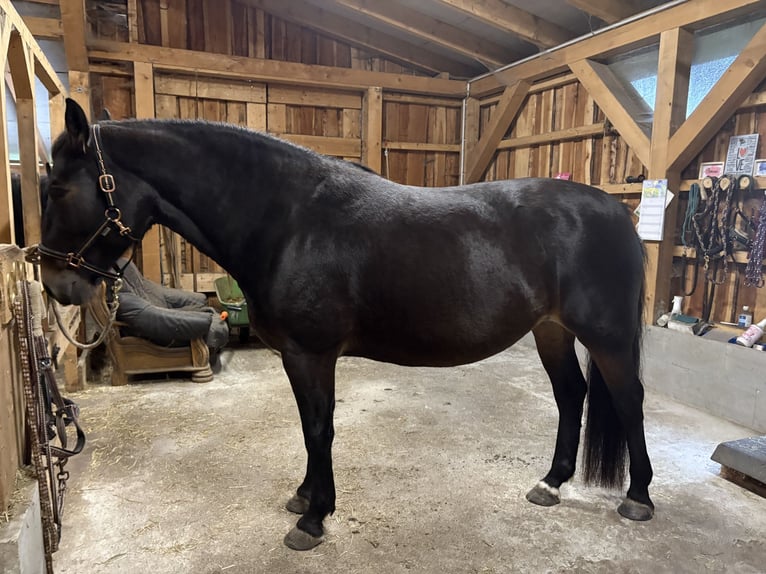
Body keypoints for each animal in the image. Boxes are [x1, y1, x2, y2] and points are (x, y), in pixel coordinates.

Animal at [37, 98, 653, 551]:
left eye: (60, 189)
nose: (55, 286)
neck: (287, 220)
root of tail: (615, 212)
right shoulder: (298, 357)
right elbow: (310, 429)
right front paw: (305, 497)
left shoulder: (311, 353)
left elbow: (319, 429)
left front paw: (312, 520)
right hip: (551, 330)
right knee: (571, 395)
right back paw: (551, 483)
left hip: (606, 337)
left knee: (627, 400)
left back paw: (639, 498)